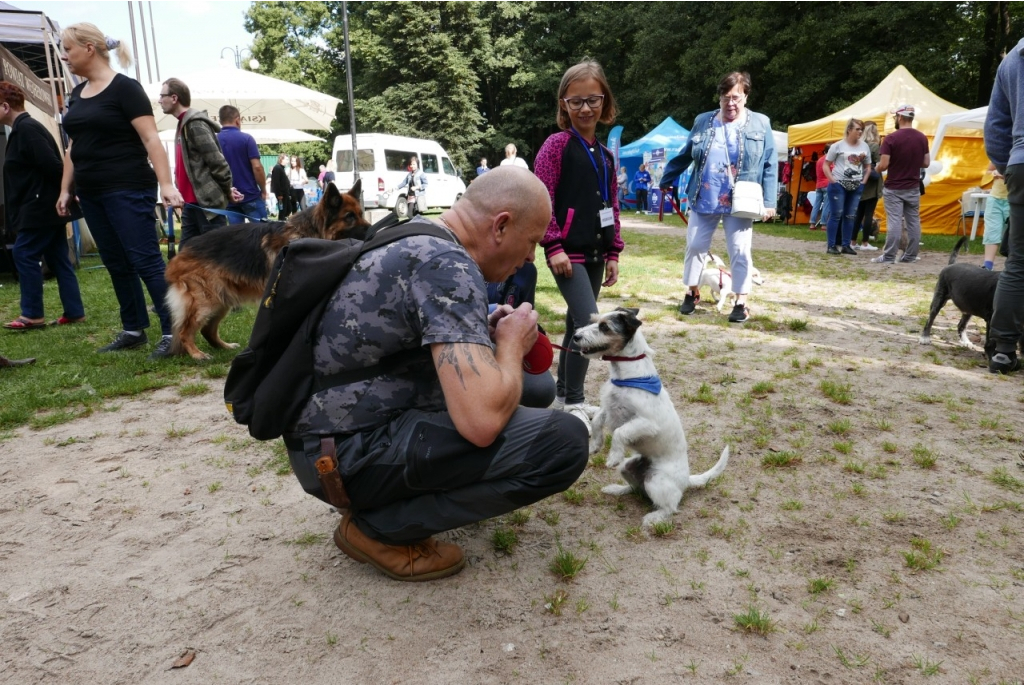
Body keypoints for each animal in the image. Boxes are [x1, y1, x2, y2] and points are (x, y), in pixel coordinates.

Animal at [167, 179, 372, 358]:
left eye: (361, 214)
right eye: (349, 217)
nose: (373, 230)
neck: (308, 233)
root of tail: (180, 253)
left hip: (222, 300)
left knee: (207, 330)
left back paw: (224, 347)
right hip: (207, 302)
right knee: (185, 331)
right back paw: (197, 354)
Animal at [573, 307, 733, 528]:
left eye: (604, 327)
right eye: (594, 321)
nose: (575, 336)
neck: (628, 375)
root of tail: (686, 480)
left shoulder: (646, 423)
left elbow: (620, 432)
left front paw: (613, 456)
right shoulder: (608, 408)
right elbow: (597, 420)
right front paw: (595, 445)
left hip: (655, 481)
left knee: (670, 507)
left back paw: (654, 518)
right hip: (628, 467)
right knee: (636, 489)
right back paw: (617, 489)